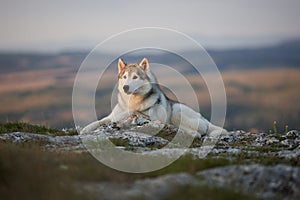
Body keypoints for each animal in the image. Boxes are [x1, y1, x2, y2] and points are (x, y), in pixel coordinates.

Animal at [81, 57, 226, 137]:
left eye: (135, 77)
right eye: (124, 77)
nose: (125, 87)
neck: (131, 103)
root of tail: (205, 119)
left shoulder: (153, 118)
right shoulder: (111, 116)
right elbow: (98, 122)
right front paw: (84, 129)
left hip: (177, 110)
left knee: (197, 132)